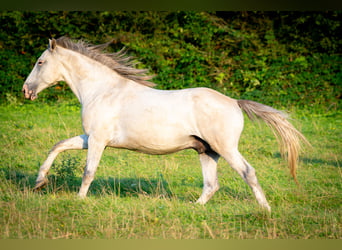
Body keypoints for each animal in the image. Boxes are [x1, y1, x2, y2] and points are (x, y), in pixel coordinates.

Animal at [22, 37, 308, 212]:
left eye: (40, 62)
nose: (26, 91)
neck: (102, 90)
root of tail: (235, 102)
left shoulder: (98, 140)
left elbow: (88, 172)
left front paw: (79, 201)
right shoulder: (89, 138)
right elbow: (58, 146)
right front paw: (39, 183)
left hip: (225, 148)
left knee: (248, 172)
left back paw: (265, 210)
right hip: (207, 151)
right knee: (211, 185)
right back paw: (194, 208)